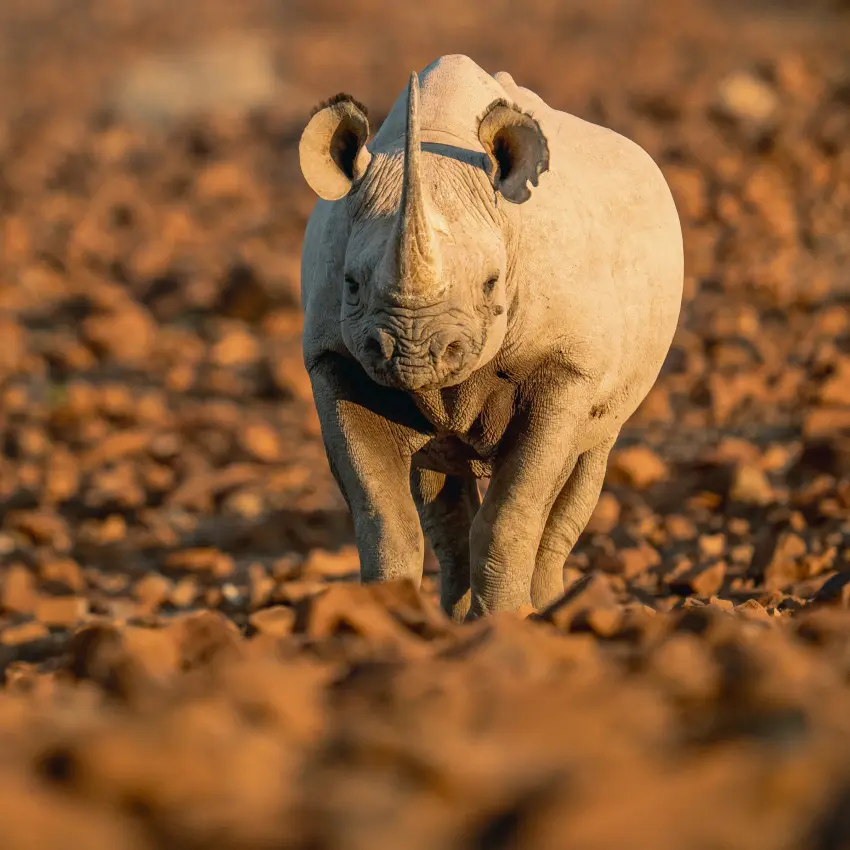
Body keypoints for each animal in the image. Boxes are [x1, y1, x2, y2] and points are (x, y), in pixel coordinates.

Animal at [298, 54, 683, 620]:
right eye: (351, 284)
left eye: (491, 284)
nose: (413, 355)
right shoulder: (334, 359)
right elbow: (383, 517)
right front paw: (391, 620)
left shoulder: (565, 364)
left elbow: (513, 512)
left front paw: (507, 621)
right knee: (439, 483)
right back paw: (455, 618)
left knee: (586, 460)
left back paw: (550, 609)